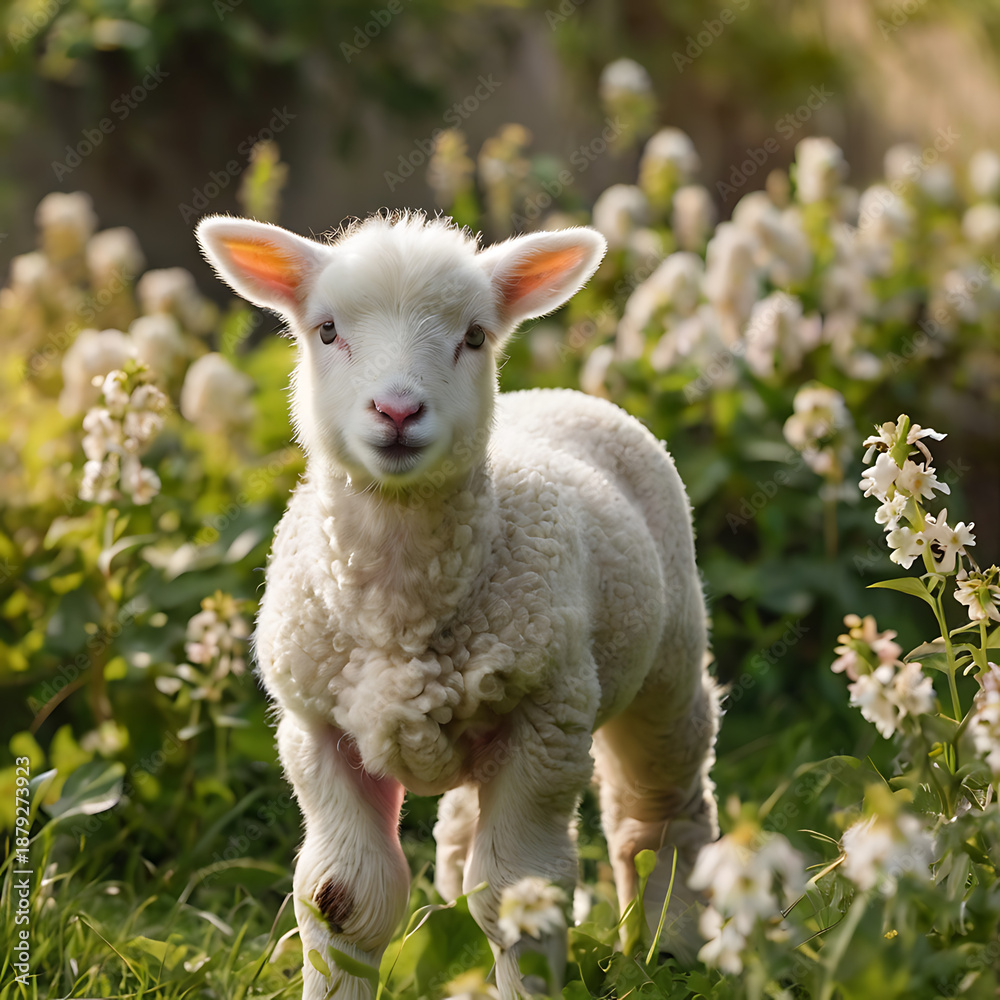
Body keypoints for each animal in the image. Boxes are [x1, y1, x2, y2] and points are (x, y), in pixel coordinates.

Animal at [195, 211, 719, 1000]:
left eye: (474, 336)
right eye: (326, 330)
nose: (397, 409)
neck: (401, 615)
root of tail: (554, 393)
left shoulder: (547, 719)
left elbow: (518, 895)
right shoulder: (317, 728)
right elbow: (342, 896)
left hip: (667, 661)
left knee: (657, 811)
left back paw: (672, 945)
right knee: (464, 829)